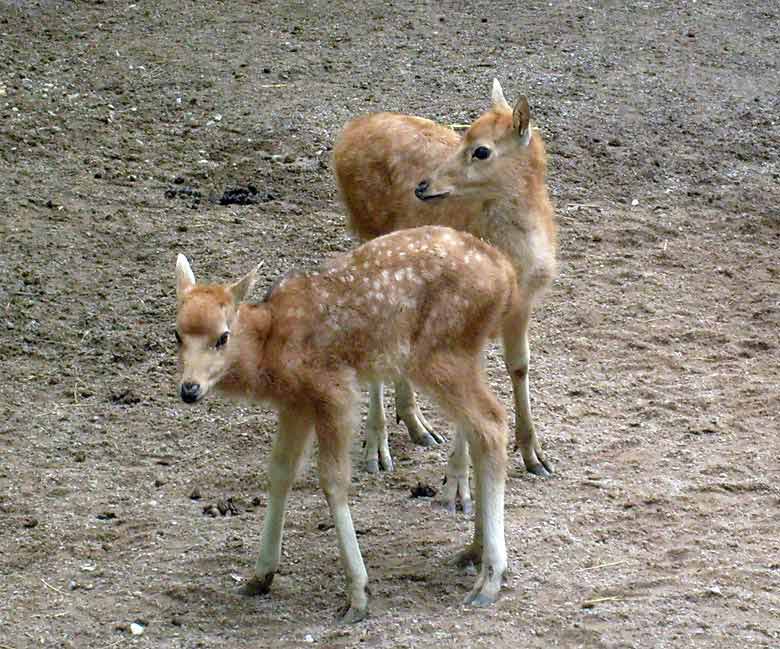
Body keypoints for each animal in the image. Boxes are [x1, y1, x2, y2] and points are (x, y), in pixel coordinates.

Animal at [174, 225, 520, 620]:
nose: (189, 388)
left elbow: (333, 480)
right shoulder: (296, 403)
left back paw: (490, 579)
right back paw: (474, 551)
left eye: (223, 336)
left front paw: (357, 595)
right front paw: (260, 576)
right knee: (481, 429)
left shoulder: (334, 391)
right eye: (177, 334)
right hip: (463, 353)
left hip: (440, 353)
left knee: (492, 423)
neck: (270, 347)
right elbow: (280, 472)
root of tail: (507, 277)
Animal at [332, 81, 556, 504]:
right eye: (463, 135)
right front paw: (456, 486)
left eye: (481, 149)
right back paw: (377, 449)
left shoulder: (523, 305)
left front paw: (535, 455)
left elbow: (520, 365)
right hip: (371, 240)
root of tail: (347, 134)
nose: (423, 186)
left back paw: (417, 425)